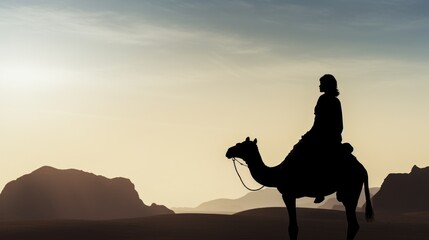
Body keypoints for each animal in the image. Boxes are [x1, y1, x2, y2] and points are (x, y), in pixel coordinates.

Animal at [226, 138, 372, 240]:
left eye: (240, 145)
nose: (228, 151)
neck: (277, 173)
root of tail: (363, 169)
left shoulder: (288, 194)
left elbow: (293, 228)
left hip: (351, 188)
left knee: (353, 223)